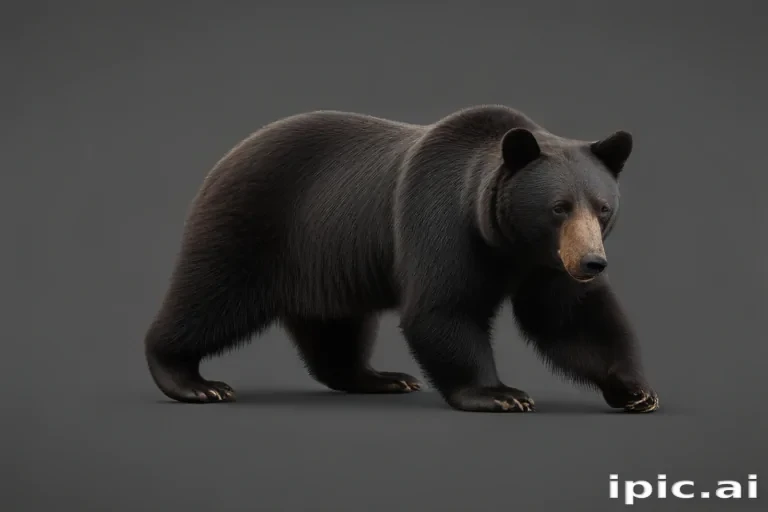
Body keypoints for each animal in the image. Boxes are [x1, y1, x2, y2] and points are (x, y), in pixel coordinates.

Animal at [144, 104, 659, 413]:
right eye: (559, 207)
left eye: (603, 208)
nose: (592, 263)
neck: (505, 241)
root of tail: (229, 154)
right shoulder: (440, 223)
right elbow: (442, 308)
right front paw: (500, 394)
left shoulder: (545, 264)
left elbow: (570, 319)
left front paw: (635, 389)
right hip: (256, 224)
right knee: (210, 295)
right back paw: (193, 381)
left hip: (325, 262)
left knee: (336, 326)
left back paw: (379, 377)